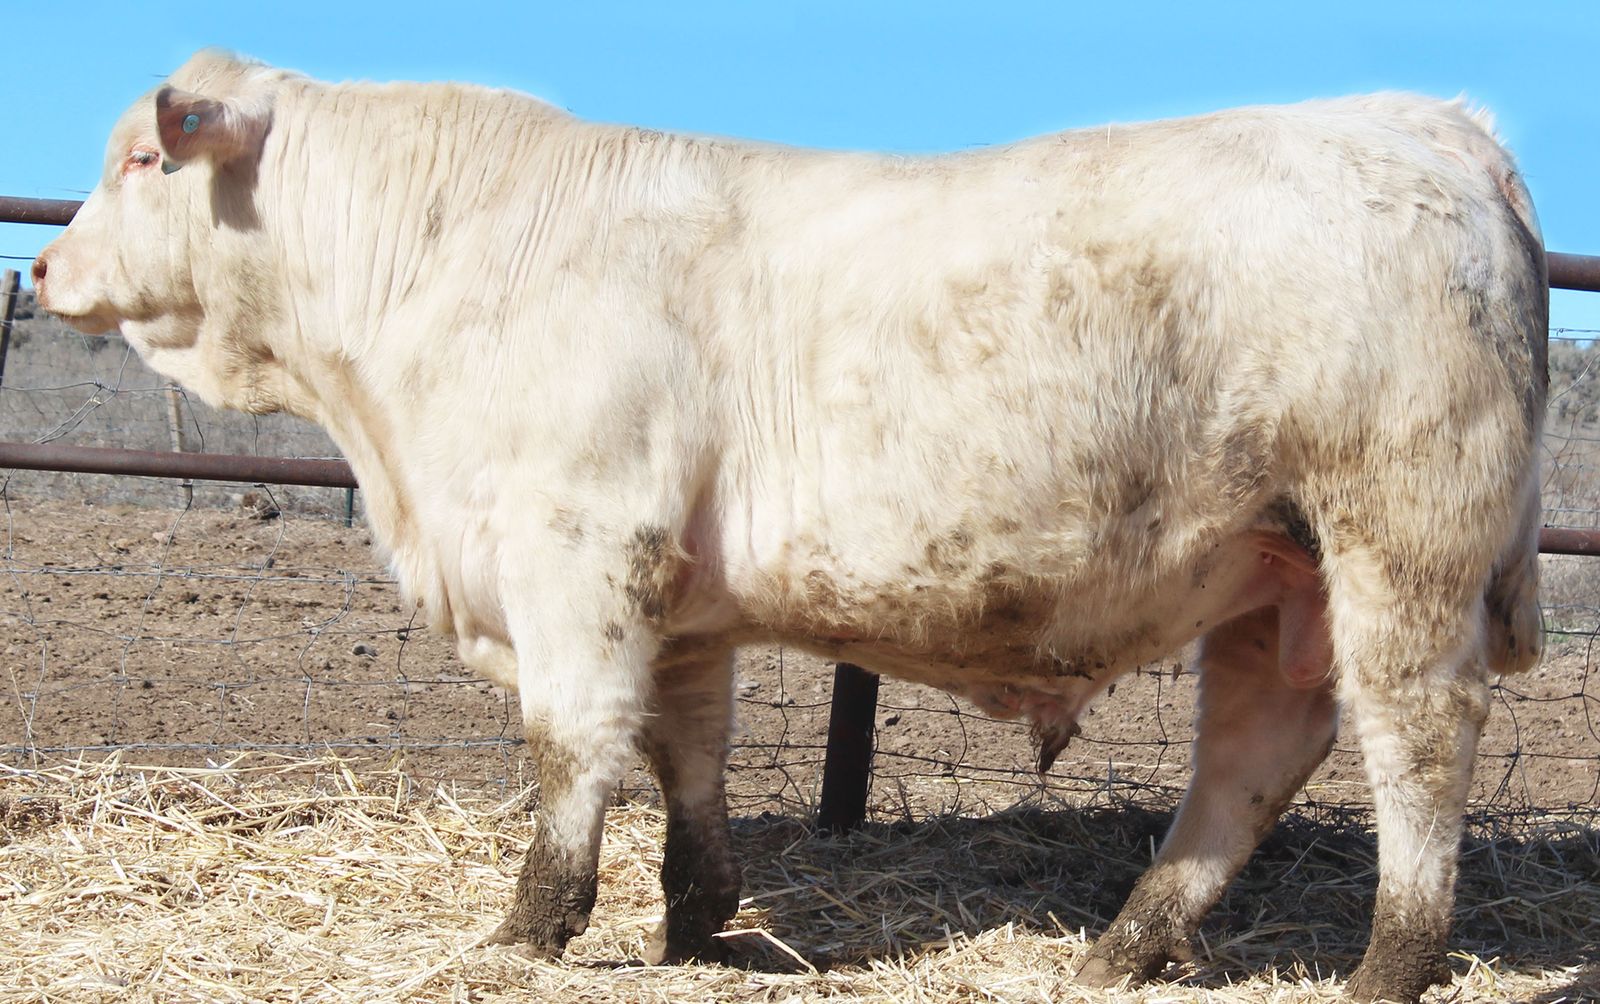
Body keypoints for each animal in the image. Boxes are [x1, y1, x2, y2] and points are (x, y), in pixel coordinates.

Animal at [32, 50, 1546, 1003]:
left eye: (142, 157)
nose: (42, 266)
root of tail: (1428, 118)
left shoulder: (573, 548)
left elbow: (571, 745)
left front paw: (532, 926)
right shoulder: (676, 591)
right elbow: (685, 748)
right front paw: (696, 917)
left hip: (1401, 541)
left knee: (1415, 745)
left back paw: (1388, 968)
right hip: (1274, 572)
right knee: (1252, 753)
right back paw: (1124, 947)